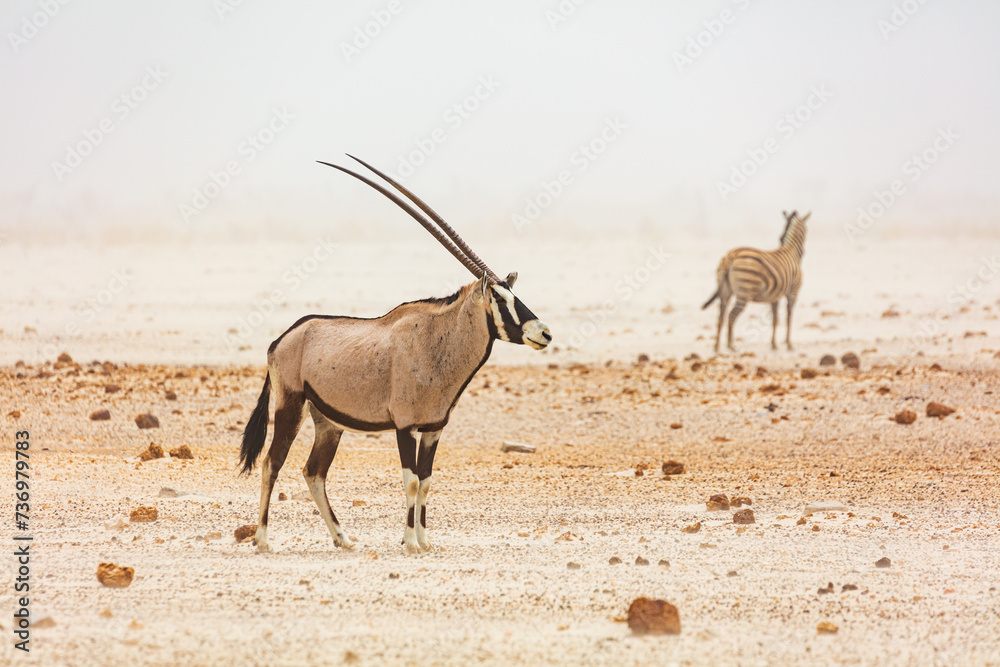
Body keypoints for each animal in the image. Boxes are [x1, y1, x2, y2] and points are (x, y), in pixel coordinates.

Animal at [239, 155, 551, 554]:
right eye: (498, 298)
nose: (544, 333)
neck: (437, 341)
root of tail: (281, 339)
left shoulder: (433, 429)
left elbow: (427, 481)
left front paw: (424, 541)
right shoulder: (404, 425)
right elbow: (412, 481)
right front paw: (411, 543)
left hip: (328, 423)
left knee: (313, 472)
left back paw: (343, 539)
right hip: (291, 406)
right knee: (271, 463)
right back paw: (262, 540)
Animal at [702, 210, 809, 353]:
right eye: (807, 230)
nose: (804, 252)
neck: (792, 251)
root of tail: (730, 257)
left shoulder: (774, 297)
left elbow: (775, 319)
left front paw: (774, 344)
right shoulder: (793, 292)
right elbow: (789, 318)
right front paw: (789, 344)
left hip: (725, 292)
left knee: (721, 317)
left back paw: (717, 346)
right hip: (744, 292)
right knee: (731, 316)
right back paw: (731, 346)